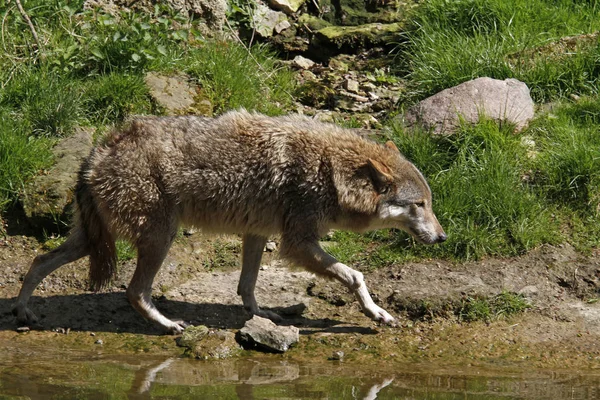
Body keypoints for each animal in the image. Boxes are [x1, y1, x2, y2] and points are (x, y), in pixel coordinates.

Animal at [12, 110, 446, 334]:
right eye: (419, 204)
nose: (443, 237)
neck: (330, 169)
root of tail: (99, 149)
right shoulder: (297, 243)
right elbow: (356, 276)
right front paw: (377, 313)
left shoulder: (258, 233)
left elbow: (246, 285)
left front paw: (263, 316)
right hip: (159, 237)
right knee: (134, 292)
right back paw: (168, 325)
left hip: (90, 241)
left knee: (37, 262)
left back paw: (22, 312)